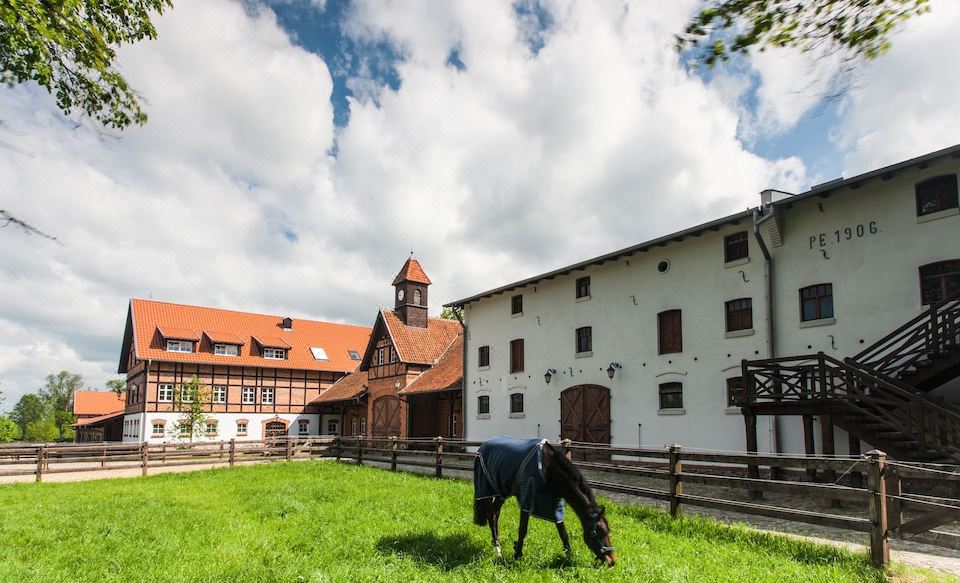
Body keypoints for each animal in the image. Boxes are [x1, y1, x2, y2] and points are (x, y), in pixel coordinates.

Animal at [470, 438, 616, 564]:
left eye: (608, 532)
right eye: (598, 533)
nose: (612, 561)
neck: (548, 467)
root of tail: (483, 445)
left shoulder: (555, 504)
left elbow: (563, 532)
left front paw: (569, 555)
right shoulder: (527, 499)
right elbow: (522, 530)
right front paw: (517, 555)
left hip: (502, 491)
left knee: (495, 514)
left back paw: (498, 546)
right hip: (487, 489)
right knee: (491, 515)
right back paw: (498, 549)